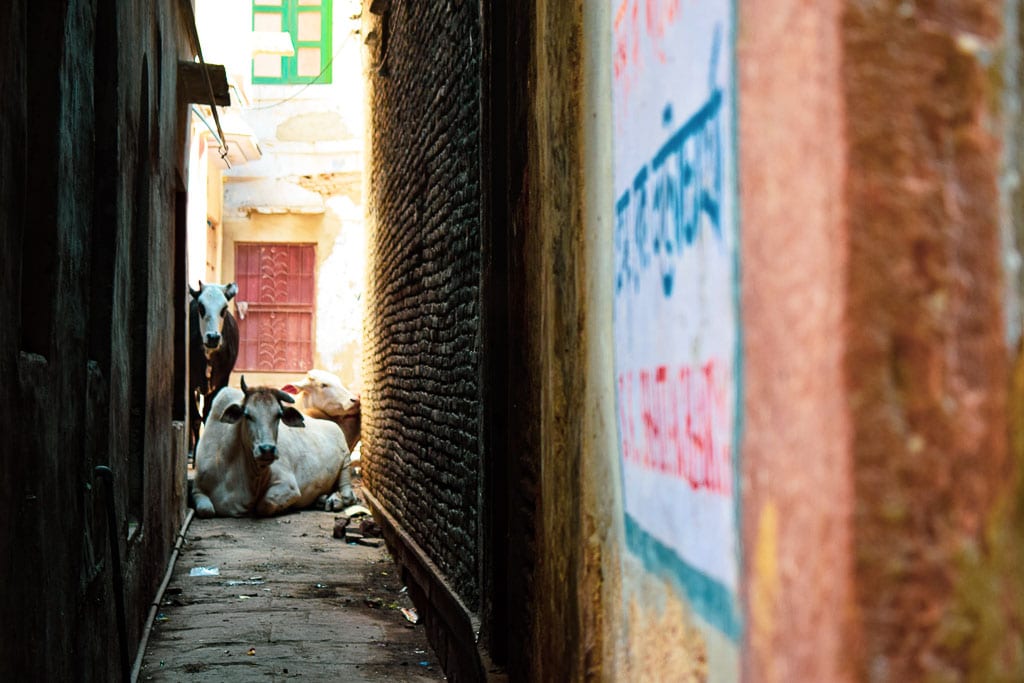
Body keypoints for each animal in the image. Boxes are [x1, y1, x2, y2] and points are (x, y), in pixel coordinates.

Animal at [193, 378, 358, 518]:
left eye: (278, 415)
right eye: (247, 415)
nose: (267, 449)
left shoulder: (289, 486)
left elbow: (264, 505)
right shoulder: (197, 489)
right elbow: (206, 510)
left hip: (346, 461)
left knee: (347, 495)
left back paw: (335, 500)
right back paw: (323, 499)